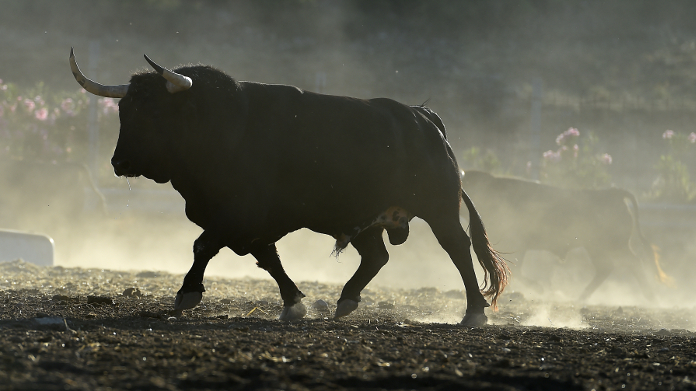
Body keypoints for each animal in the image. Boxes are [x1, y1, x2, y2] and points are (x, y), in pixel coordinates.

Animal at [68, 49, 508, 328]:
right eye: (124, 109)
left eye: (155, 111)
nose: (119, 163)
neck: (226, 127)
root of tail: (423, 117)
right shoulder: (250, 224)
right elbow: (268, 259)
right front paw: (294, 303)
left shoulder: (239, 213)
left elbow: (203, 245)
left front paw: (188, 292)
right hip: (365, 220)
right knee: (377, 256)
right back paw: (346, 300)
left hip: (439, 209)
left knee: (458, 248)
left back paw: (474, 312)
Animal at [460, 170, 668, 302]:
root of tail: (613, 193)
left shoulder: (517, 243)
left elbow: (515, 270)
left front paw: (540, 288)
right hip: (597, 248)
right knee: (607, 268)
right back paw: (581, 297)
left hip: (612, 246)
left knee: (632, 262)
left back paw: (651, 297)